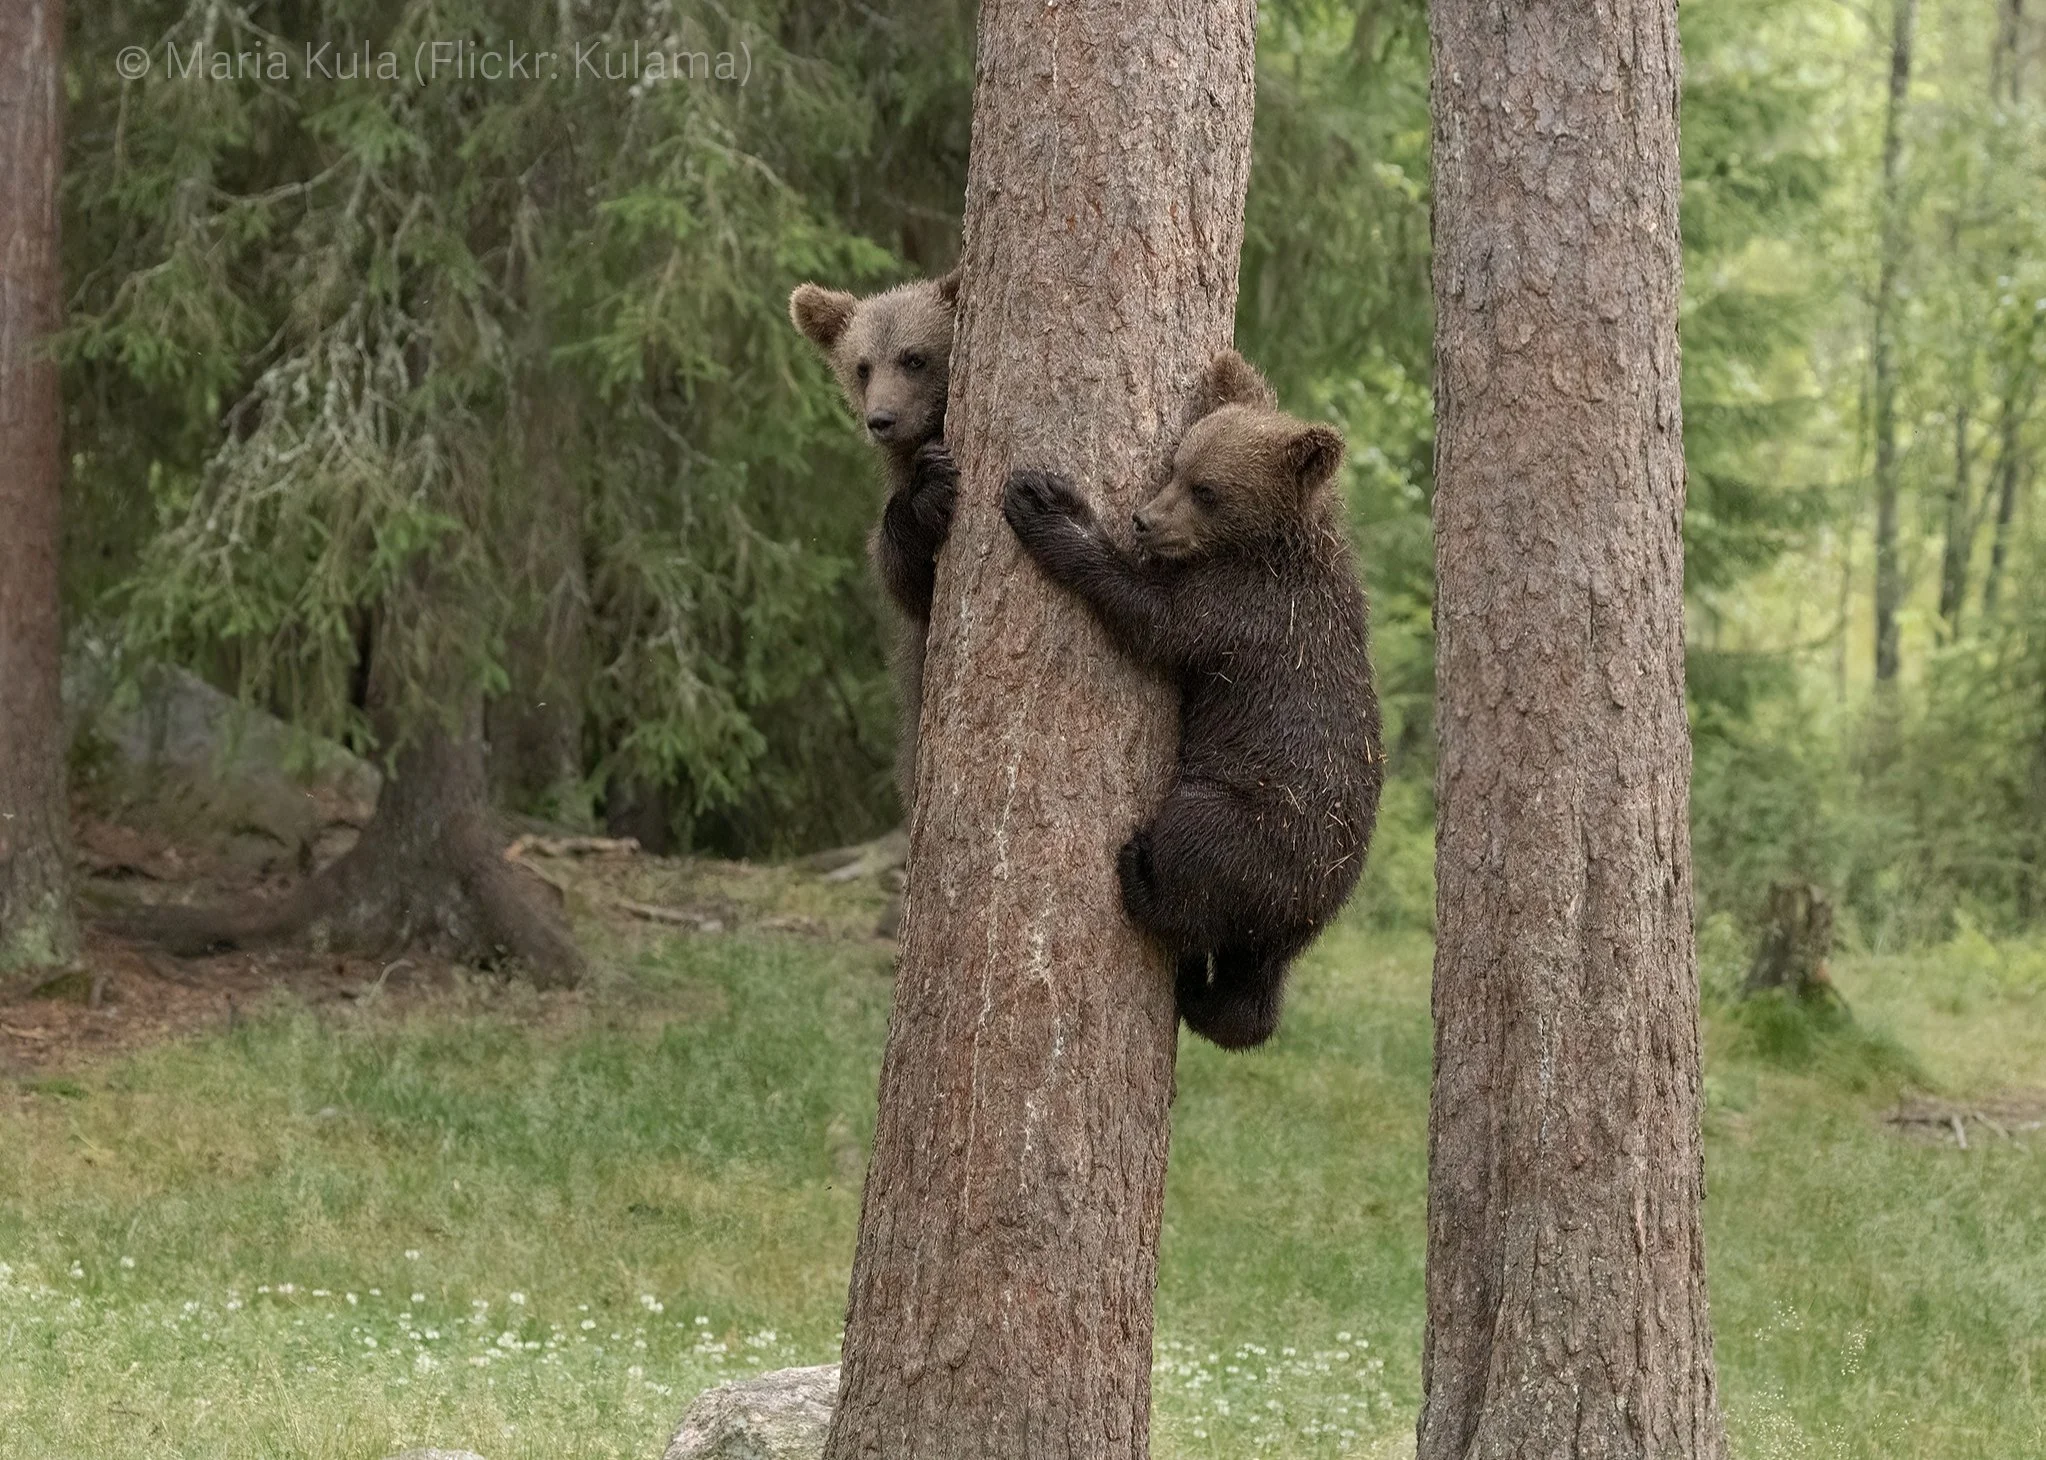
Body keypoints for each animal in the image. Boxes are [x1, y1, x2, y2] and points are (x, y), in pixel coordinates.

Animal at [1001, 348, 1383, 1049]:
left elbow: (1153, 616)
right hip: (1279, 920)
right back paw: (1204, 992)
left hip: (1250, 818)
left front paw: (1047, 506)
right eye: (1176, 465)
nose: (1145, 520)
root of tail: (1304, 913)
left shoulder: (1244, 611)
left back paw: (1139, 878)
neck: (1269, 546)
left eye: (1208, 490)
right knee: (1247, 1002)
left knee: (1192, 852)